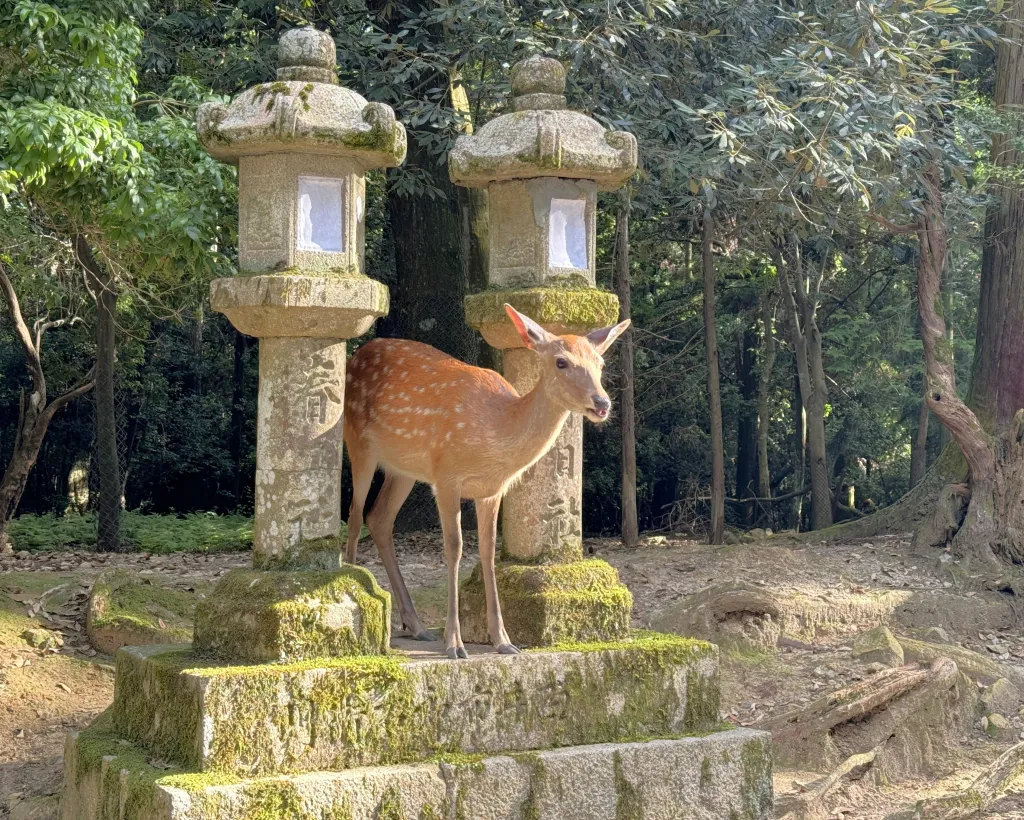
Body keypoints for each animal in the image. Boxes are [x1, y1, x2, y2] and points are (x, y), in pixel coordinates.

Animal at [343, 304, 629, 659]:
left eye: (600, 363)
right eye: (561, 362)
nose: (602, 403)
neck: (495, 430)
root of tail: (357, 355)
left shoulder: (491, 491)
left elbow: (488, 551)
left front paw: (503, 640)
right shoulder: (446, 476)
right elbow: (454, 548)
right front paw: (455, 643)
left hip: (404, 469)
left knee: (379, 519)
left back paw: (417, 625)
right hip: (358, 441)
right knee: (355, 516)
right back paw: (356, 590)